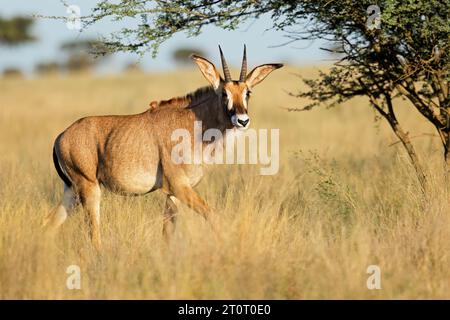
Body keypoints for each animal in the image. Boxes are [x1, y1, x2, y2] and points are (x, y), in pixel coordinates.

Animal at [42, 45, 282, 250]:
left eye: (248, 92)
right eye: (224, 93)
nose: (242, 120)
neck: (193, 123)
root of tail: (61, 137)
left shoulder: (173, 194)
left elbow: (167, 233)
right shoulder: (178, 186)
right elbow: (213, 216)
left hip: (72, 192)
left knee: (49, 224)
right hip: (89, 189)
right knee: (93, 235)